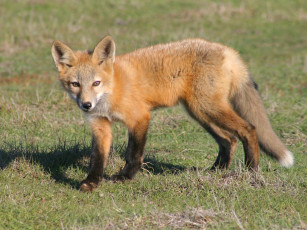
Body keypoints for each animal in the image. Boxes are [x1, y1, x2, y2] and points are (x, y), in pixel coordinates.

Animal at [51, 36, 294, 192]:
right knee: (228, 140)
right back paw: (216, 170)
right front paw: (92, 182)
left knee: (249, 129)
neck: (113, 89)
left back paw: (251, 171)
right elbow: (97, 158)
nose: (86, 105)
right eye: (75, 84)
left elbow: (133, 154)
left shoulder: (140, 117)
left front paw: (126, 177)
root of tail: (226, 49)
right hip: (200, 112)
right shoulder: (100, 125)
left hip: (207, 108)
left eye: (96, 83)